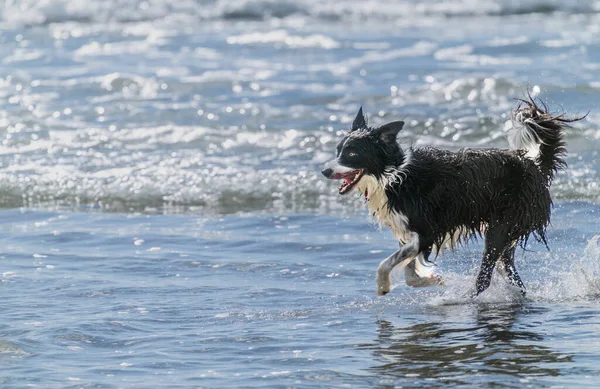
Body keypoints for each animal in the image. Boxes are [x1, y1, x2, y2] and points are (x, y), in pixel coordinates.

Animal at [322, 98, 584, 296]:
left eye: (352, 153)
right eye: (338, 150)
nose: (325, 171)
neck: (395, 175)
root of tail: (535, 167)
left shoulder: (428, 230)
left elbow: (388, 263)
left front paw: (384, 285)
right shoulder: (409, 231)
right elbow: (408, 269)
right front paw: (430, 280)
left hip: (501, 228)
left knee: (485, 277)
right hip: (506, 235)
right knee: (511, 275)